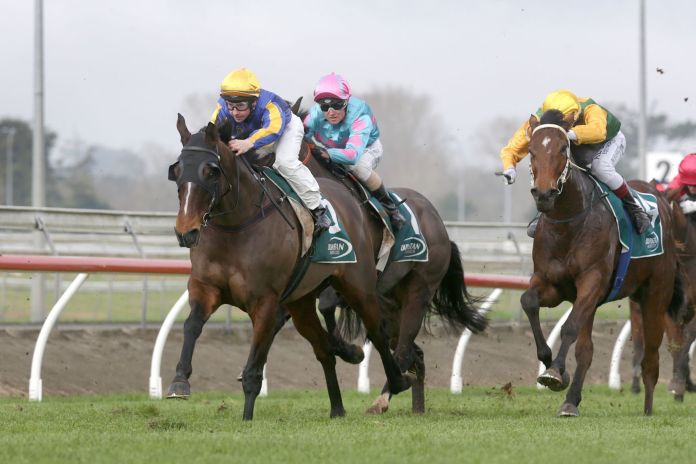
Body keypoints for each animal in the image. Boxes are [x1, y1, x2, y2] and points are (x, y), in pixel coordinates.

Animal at [167, 115, 414, 420]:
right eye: (177, 170)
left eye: (211, 171)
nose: (185, 232)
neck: (236, 227)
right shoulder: (205, 288)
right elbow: (191, 325)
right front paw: (179, 381)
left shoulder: (265, 302)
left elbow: (254, 368)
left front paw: (247, 419)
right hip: (301, 302)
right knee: (323, 349)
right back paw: (337, 407)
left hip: (359, 286)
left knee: (377, 333)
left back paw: (397, 381)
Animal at [520, 109, 684, 416]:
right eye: (531, 151)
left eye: (563, 149)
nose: (544, 194)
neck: (569, 224)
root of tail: (663, 203)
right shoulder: (551, 284)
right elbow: (529, 302)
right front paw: (552, 367)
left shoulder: (592, 281)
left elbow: (569, 327)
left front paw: (556, 371)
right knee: (587, 350)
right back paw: (571, 400)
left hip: (655, 296)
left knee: (651, 357)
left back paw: (648, 410)